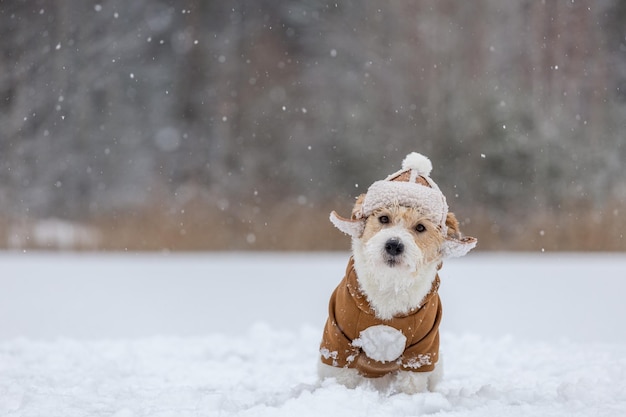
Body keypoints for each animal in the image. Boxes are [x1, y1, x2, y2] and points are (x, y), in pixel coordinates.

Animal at [320, 153, 476, 394]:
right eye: (384, 219)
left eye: (420, 227)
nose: (394, 245)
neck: (390, 283)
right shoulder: (339, 341)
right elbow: (343, 376)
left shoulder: (422, 349)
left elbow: (411, 383)